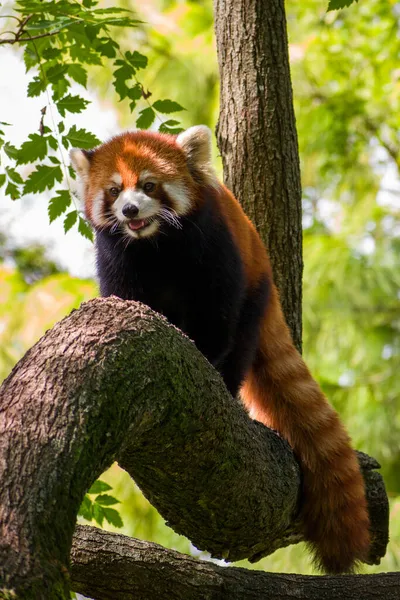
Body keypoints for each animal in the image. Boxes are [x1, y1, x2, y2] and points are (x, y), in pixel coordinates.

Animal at [69, 125, 372, 572]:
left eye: (149, 185)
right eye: (113, 190)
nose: (129, 210)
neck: (156, 246)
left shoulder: (213, 247)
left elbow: (217, 317)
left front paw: (206, 362)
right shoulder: (118, 256)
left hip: (256, 291)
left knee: (242, 340)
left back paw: (226, 385)